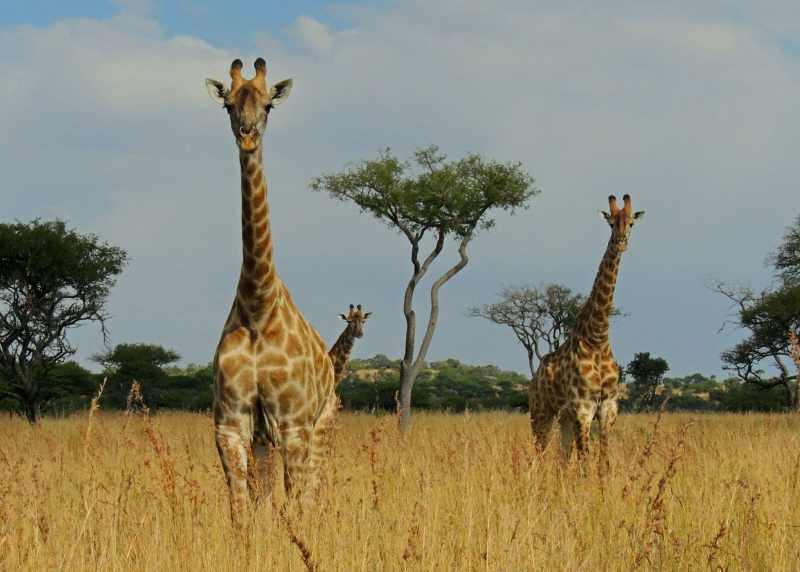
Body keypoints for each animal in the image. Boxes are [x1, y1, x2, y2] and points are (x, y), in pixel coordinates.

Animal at [205, 59, 336, 524]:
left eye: (268, 106)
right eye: (228, 104)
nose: (247, 135)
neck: (258, 304)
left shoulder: (294, 423)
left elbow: (297, 506)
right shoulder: (230, 422)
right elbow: (242, 509)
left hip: (323, 423)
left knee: (313, 494)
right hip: (265, 438)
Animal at [528, 196, 648, 464]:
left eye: (632, 223)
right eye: (611, 223)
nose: (621, 243)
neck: (598, 337)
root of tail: (535, 377)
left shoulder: (608, 409)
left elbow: (603, 461)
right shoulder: (583, 409)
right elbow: (584, 462)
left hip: (564, 419)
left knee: (562, 458)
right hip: (541, 412)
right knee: (539, 455)